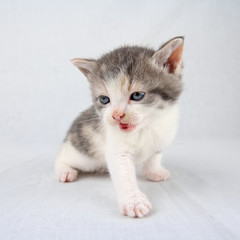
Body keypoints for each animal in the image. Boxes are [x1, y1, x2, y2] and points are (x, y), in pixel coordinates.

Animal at [55, 36, 185, 218]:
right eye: (104, 99)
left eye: (137, 95)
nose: (116, 115)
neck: (145, 129)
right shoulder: (116, 150)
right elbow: (124, 175)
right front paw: (134, 201)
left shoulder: (163, 135)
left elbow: (154, 155)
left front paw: (153, 171)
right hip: (84, 154)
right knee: (61, 156)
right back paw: (64, 170)